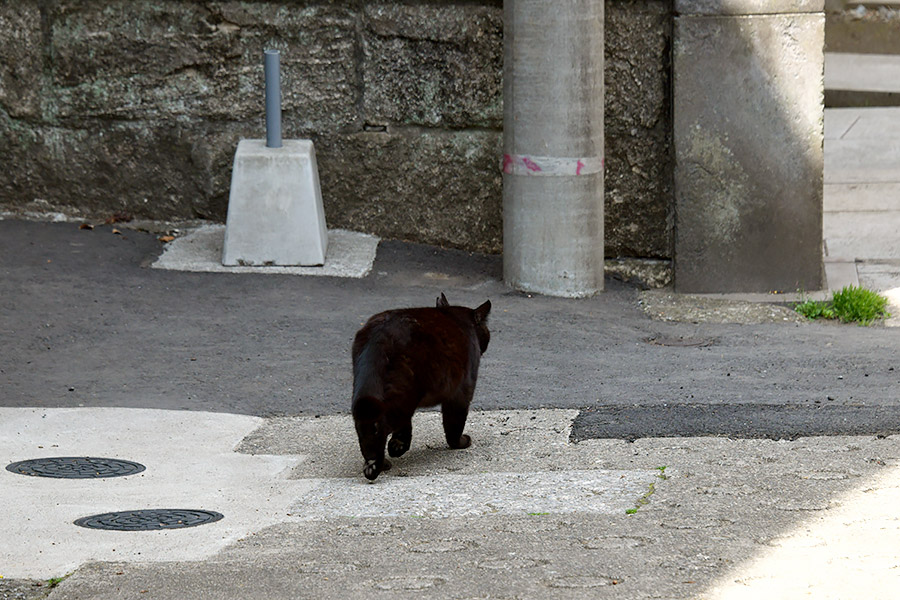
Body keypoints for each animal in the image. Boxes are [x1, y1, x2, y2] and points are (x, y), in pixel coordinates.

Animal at [352, 292, 492, 480]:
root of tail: (380, 335)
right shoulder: (462, 391)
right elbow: (454, 423)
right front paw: (460, 442)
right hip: (405, 395)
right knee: (383, 425)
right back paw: (380, 461)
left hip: (371, 391)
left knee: (368, 425)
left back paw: (385, 457)